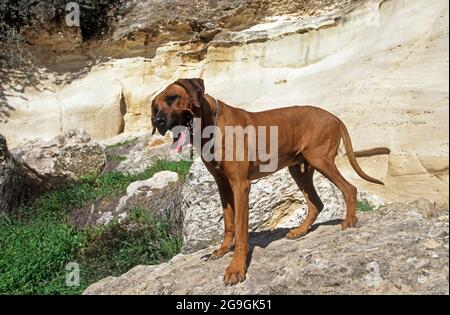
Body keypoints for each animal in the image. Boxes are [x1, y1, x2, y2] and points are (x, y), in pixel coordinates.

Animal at [151, 78, 384, 286]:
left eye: (173, 98)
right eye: (155, 108)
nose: (157, 122)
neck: (212, 126)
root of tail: (334, 116)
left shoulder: (240, 185)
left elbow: (241, 231)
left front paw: (236, 268)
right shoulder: (222, 184)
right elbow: (228, 223)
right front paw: (222, 250)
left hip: (320, 159)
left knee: (350, 188)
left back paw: (349, 221)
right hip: (299, 169)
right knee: (316, 203)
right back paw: (300, 231)